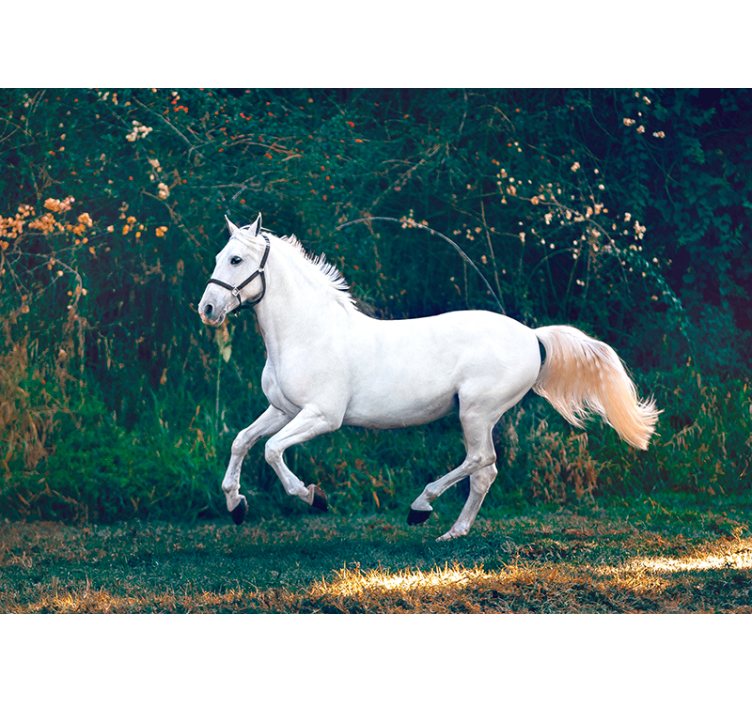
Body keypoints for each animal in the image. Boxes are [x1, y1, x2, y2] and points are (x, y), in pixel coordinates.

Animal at [198, 215, 659, 541]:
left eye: (236, 259)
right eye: (219, 257)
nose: (207, 309)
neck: (308, 332)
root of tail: (533, 336)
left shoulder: (321, 416)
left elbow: (272, 450)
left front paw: (314, 497)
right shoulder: (282, 409)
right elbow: (242, 441)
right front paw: (236, 505)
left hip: (475, 412)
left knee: (480, 461)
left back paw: (421, 507)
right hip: (478, 416)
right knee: (485, 472)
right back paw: (452, 532)